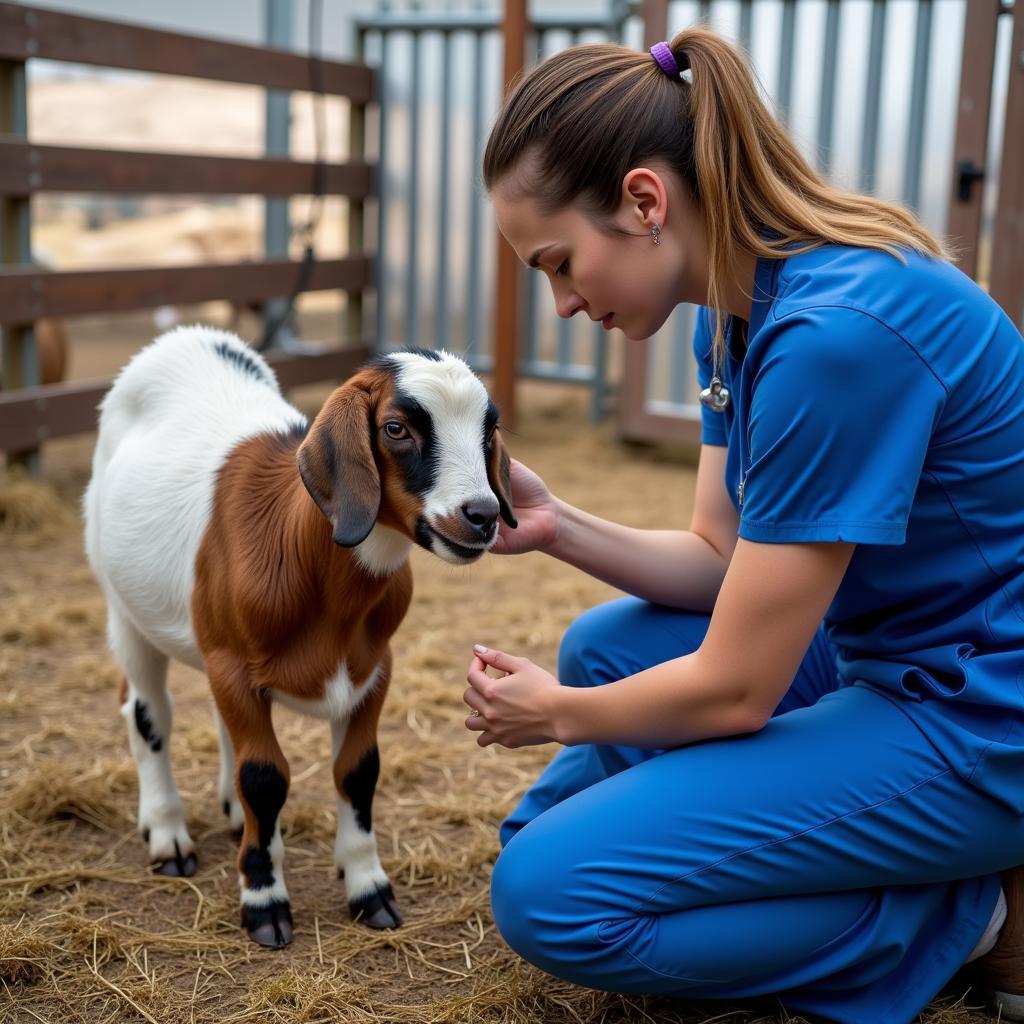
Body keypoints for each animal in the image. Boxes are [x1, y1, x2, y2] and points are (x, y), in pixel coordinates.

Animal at [81, 327, 512, 942]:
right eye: (396, 428)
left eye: (488, 427)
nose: (482, 514)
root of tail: (186, 337)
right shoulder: (234, 667)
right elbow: (264, 777)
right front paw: (264, 902)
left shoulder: (372, 669)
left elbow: (358, 771)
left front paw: (369, 890)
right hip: (125, 607)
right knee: (146, 712)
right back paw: (167, 835)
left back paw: (231, 815)